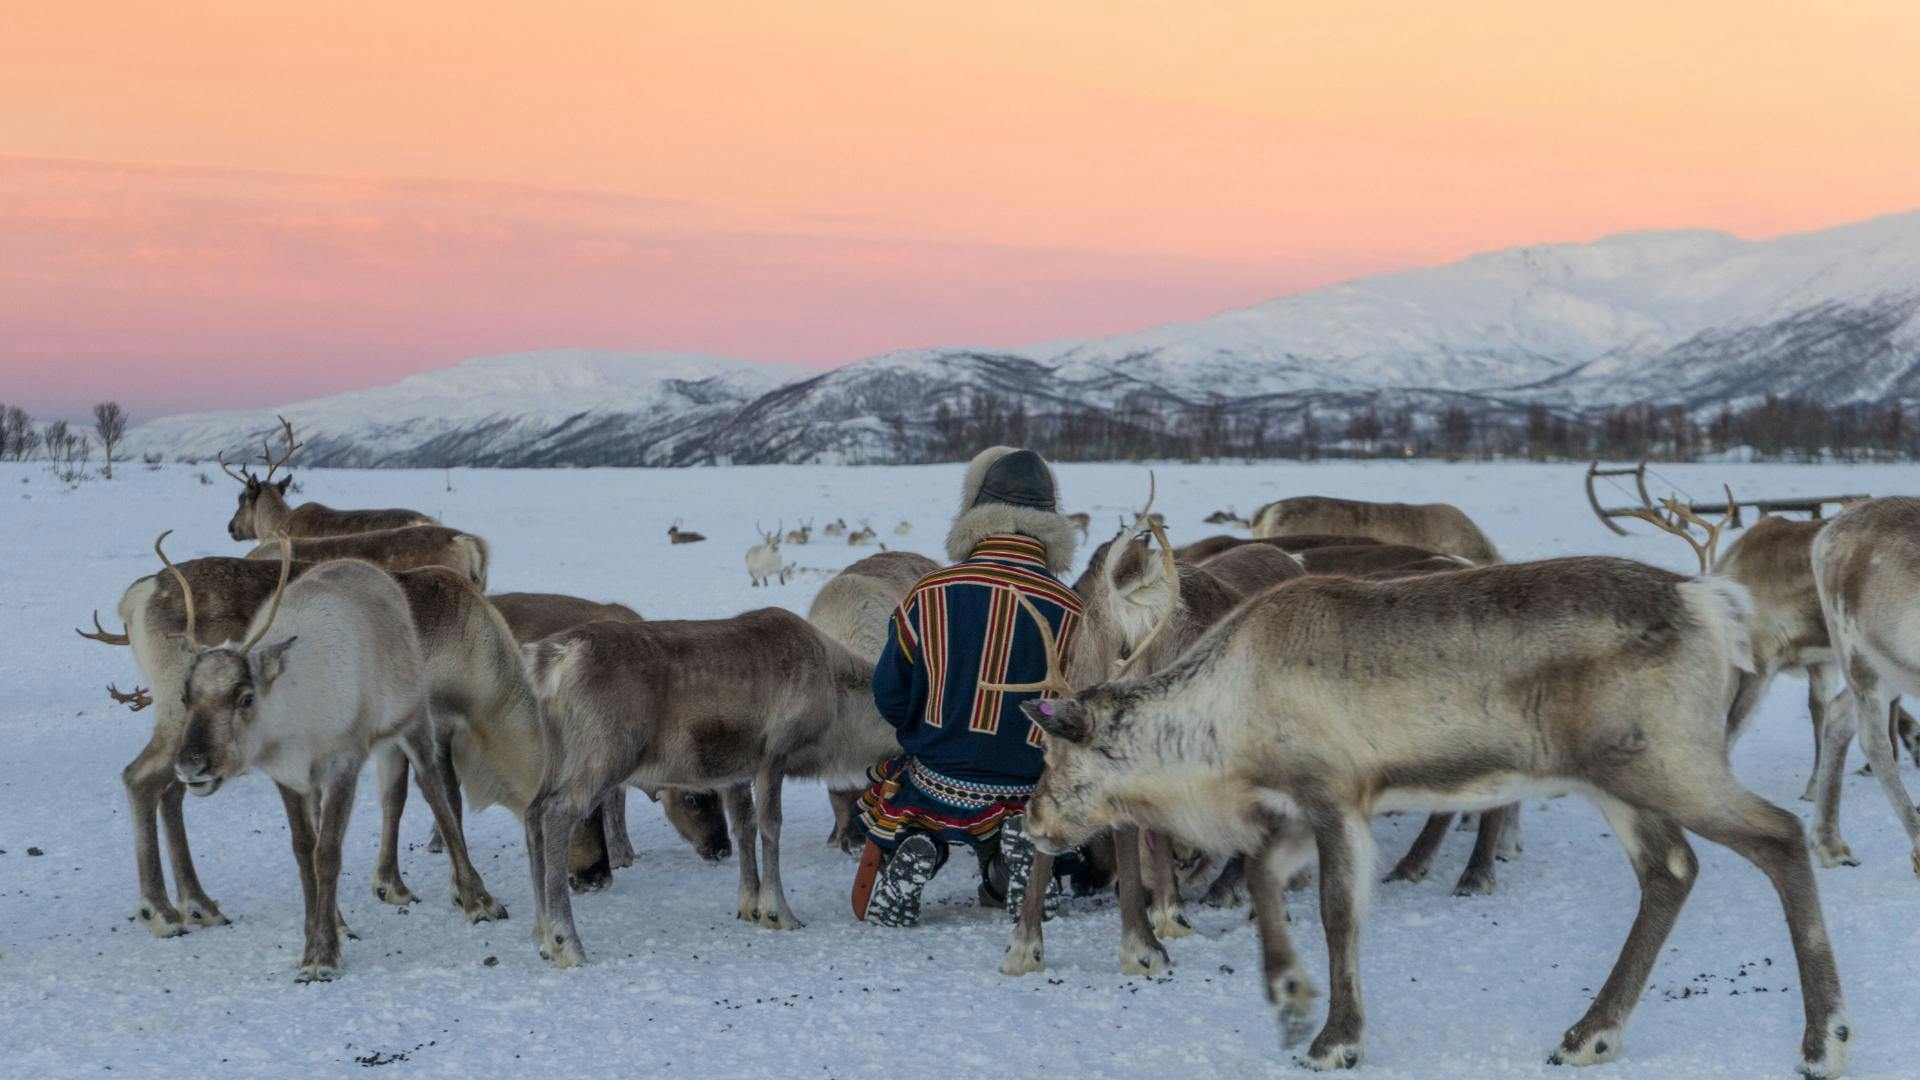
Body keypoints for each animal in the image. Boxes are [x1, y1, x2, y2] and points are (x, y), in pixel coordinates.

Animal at [159, 535, 504, 981]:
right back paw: (341, 919)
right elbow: (304, 851)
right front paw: (321, 935)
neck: (293, 716)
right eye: (186, 698)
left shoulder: (343, 762)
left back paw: (477, 899)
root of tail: (369, 569)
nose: (191, 765)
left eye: (245, 697)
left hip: (412, 719)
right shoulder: (288, 777)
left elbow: (328, 853)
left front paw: (322, 956)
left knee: (435, 791)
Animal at [519, 609, 900, 967]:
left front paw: (750, 906)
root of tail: (551, 659)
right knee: (556, 814)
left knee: (533, 813)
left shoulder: (736, 772)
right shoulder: (774, 754)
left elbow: (744, 828)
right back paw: (566, 942)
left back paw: (541, 933)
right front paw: (778, 912)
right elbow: (771, 826)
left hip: (554, 758)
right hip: (606, 755)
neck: (837, 701)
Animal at [1000, 554, 1850, 1076]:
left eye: (1053, 760)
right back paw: (1590, 1034)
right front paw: (1290, 998)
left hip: (1668, 761)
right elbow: (1268, 889)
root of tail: (1711, 604)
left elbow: (1338, 912)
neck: (1219, 724)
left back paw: (1824, 1041)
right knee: (1671, 870)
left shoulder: (1332, 794)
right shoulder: (1298, 809)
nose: (1032, 822)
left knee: (1780, 835)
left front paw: (1334, 1039)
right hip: (1618, 779)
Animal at [1811, 496, 1920, 880]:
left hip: (1889, 671)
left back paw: (1829, 844)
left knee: (1838, 714)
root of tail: (1824, 534)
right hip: (1856, 655)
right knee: (1873, 741)